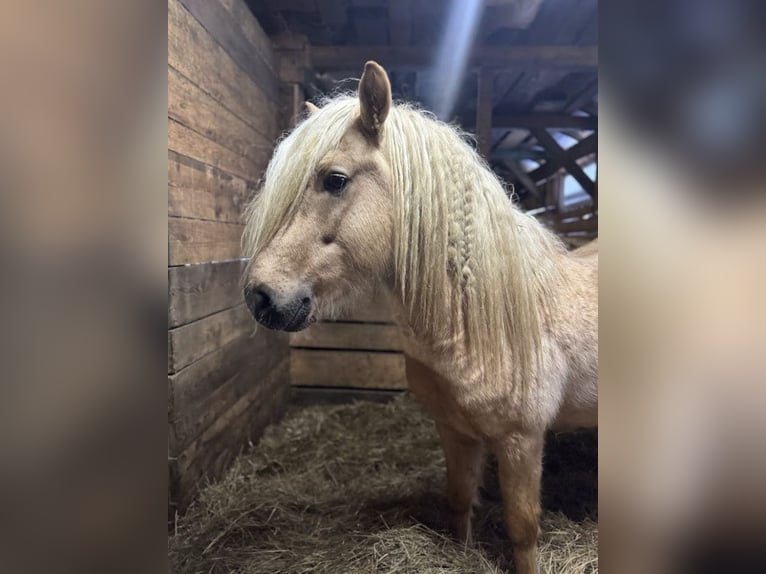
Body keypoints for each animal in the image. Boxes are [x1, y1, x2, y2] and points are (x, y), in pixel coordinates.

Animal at [242, 61, 598, 574]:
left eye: (334, 179)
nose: (261, 296)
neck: (482, 323)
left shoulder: (522, 440)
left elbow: (523, 529)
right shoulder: (455, 432)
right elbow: (459, 503)